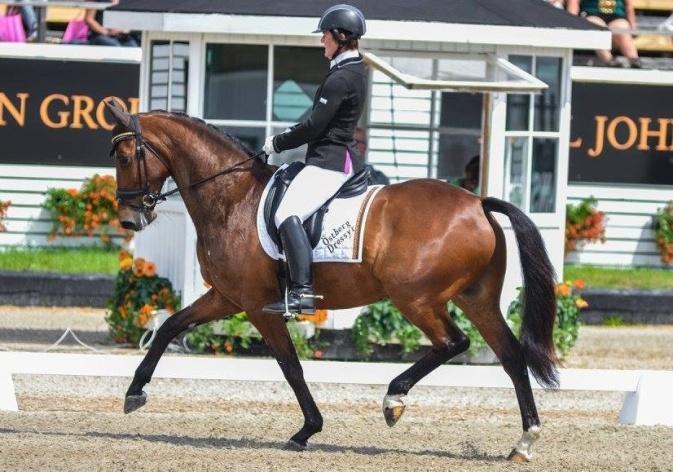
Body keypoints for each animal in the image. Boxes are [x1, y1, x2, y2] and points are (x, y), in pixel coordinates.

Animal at [105, 101, 556, 462]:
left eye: (125, 156)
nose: (129, 220)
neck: (231, 196)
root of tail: (478, 202)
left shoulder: (258, 306)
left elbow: (291, 366)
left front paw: (307, 430)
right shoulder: (227, 298)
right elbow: (169, 326)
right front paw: (135, 393)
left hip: (415, 298)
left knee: (453, 343)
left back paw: (394, 399)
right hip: (475, 298)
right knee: (511, 356)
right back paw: (524, 441)